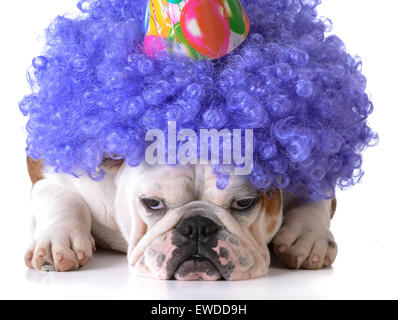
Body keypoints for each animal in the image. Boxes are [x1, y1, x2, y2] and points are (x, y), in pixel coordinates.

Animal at [24, 158, 336, 280]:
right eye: (152, 203)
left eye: (245, 202)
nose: (197, 225)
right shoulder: (54, 175)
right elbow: (63, 199)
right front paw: (57, 241)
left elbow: (318, 197)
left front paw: (309, 237)